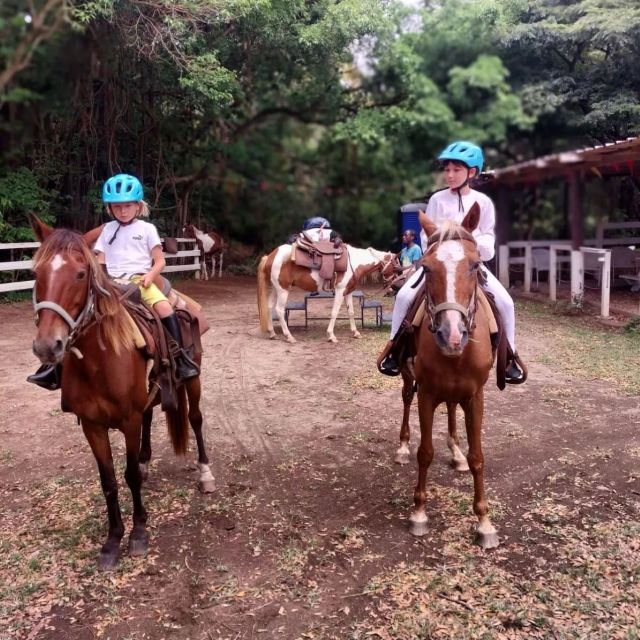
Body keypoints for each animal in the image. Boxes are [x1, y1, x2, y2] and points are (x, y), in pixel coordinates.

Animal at [28, 215, 215, 568]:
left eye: (81, 273)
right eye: (36, 273)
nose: (48, 346)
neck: (100, 360)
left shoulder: (127, 420)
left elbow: (128, 477)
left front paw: (139, 533)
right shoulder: (92, 425)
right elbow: (109, 481)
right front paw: (112, 540)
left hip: (193, 380)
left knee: (196, 419)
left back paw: (205, 473)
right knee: (150, 419)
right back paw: (146, 462)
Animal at [256, 245, 398, 344]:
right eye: (396, 263)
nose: (395, 283)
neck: (354, 262)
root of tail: (270, 256)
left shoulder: (348, 292)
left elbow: (351, 312)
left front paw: (355, 333)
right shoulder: (340, 291)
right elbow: (334, 312)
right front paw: (331, 336)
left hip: (276, 289)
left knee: (269, 307)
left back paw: (272, 333)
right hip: (283, 290)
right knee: (279, 310)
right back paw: (289, 337)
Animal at [398, 206, 502, 552]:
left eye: (476, 264)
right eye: (426, 268)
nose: (451, 335)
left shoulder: (475, 395)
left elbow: (478, 457)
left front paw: (484, 522)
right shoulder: (427, 393)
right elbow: (425, 452)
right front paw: (418, 513)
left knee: (453, 411)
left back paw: (456, 453)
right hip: (408, 378)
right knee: (406, 399)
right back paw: (402, 447)